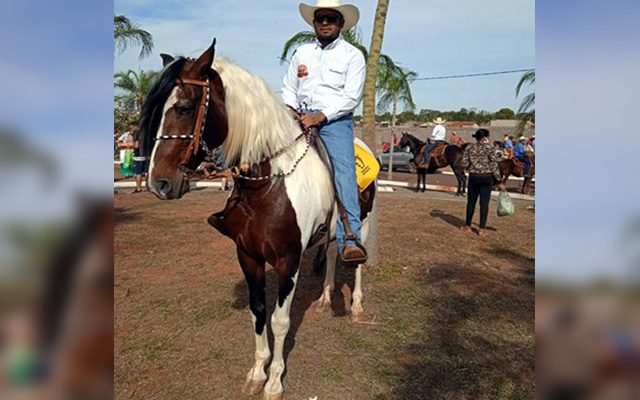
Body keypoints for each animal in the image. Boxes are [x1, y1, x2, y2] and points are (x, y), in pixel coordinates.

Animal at [136, 38, 376, 400]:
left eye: (185, 108)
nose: (158, 183)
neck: (267, 185)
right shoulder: (248, 255)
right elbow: (258, 312)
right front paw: (256, 372)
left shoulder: (288, 260)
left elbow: (280, 320)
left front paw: (275, 380)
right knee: (333, 254)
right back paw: (324, 298)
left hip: (364, 220)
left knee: (357, 258)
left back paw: (357, 305)